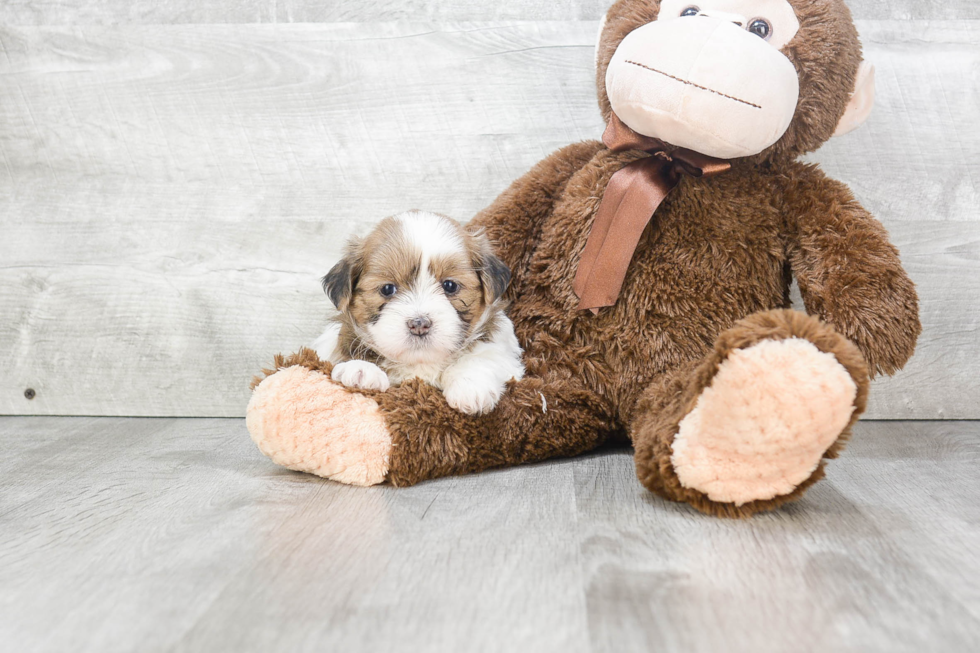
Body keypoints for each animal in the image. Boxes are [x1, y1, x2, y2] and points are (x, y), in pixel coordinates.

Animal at [314, 209, 528, 412]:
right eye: (387, 289)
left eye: (450, 286)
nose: (419, 324)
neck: (419, 363)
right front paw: (361, 370)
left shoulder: (504, 352)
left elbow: (484, 356)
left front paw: (470, 385)